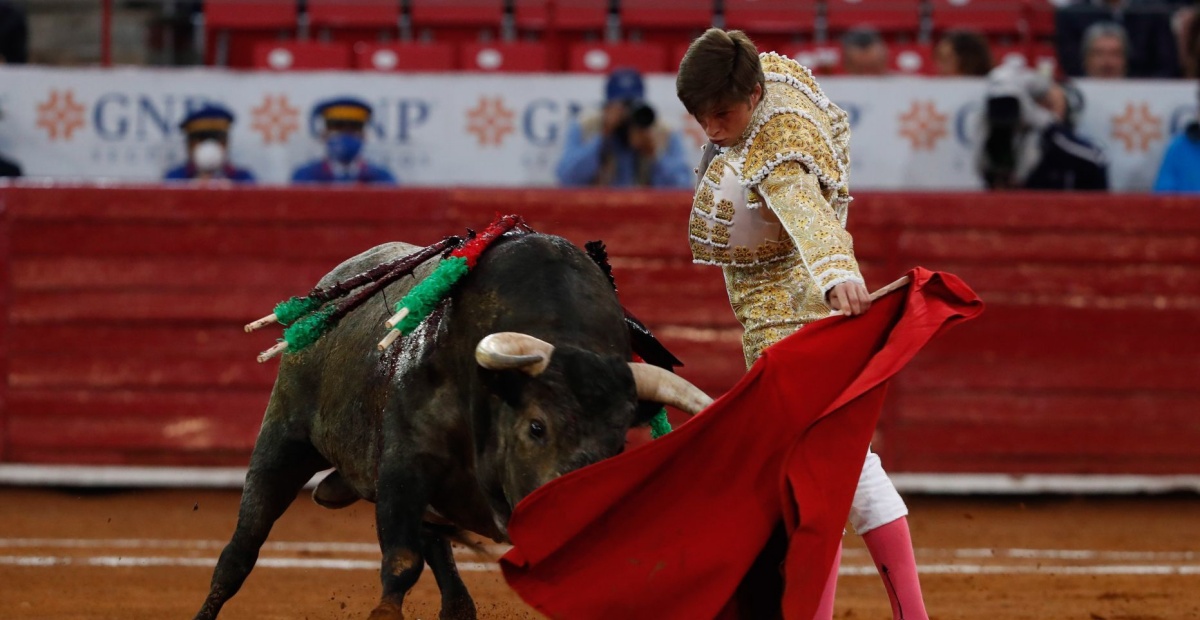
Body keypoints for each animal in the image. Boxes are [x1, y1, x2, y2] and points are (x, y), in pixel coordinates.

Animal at [194, 233, 710, 618]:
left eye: (618, 446)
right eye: (536, 427)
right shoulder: (405, 467)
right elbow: (401, 563)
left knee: (451, 583)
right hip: (284, 440)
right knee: (239, 552)